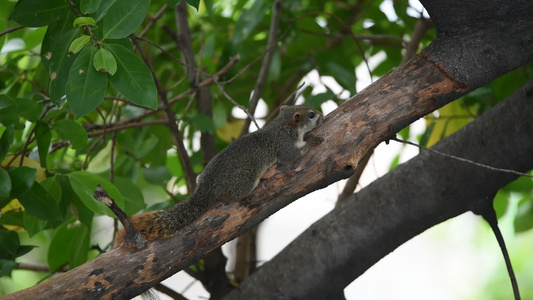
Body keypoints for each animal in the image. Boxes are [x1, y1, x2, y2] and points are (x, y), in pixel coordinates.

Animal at [116, 104, 322, 243]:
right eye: (310, 115)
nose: (320, 114)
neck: (282, 125)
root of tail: (206, 187)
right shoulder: (284, 145)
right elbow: (291, 156)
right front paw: (312, 141)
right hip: (245, 181)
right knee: (231, 196)